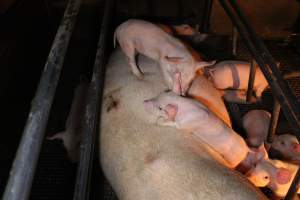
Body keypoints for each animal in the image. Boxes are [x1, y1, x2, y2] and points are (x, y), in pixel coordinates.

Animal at [99, 48, 266, 200]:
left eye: (160, 108)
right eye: (163, 91)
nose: (144, 102)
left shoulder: (185, 123)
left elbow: (175, 124)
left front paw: (160, 122)